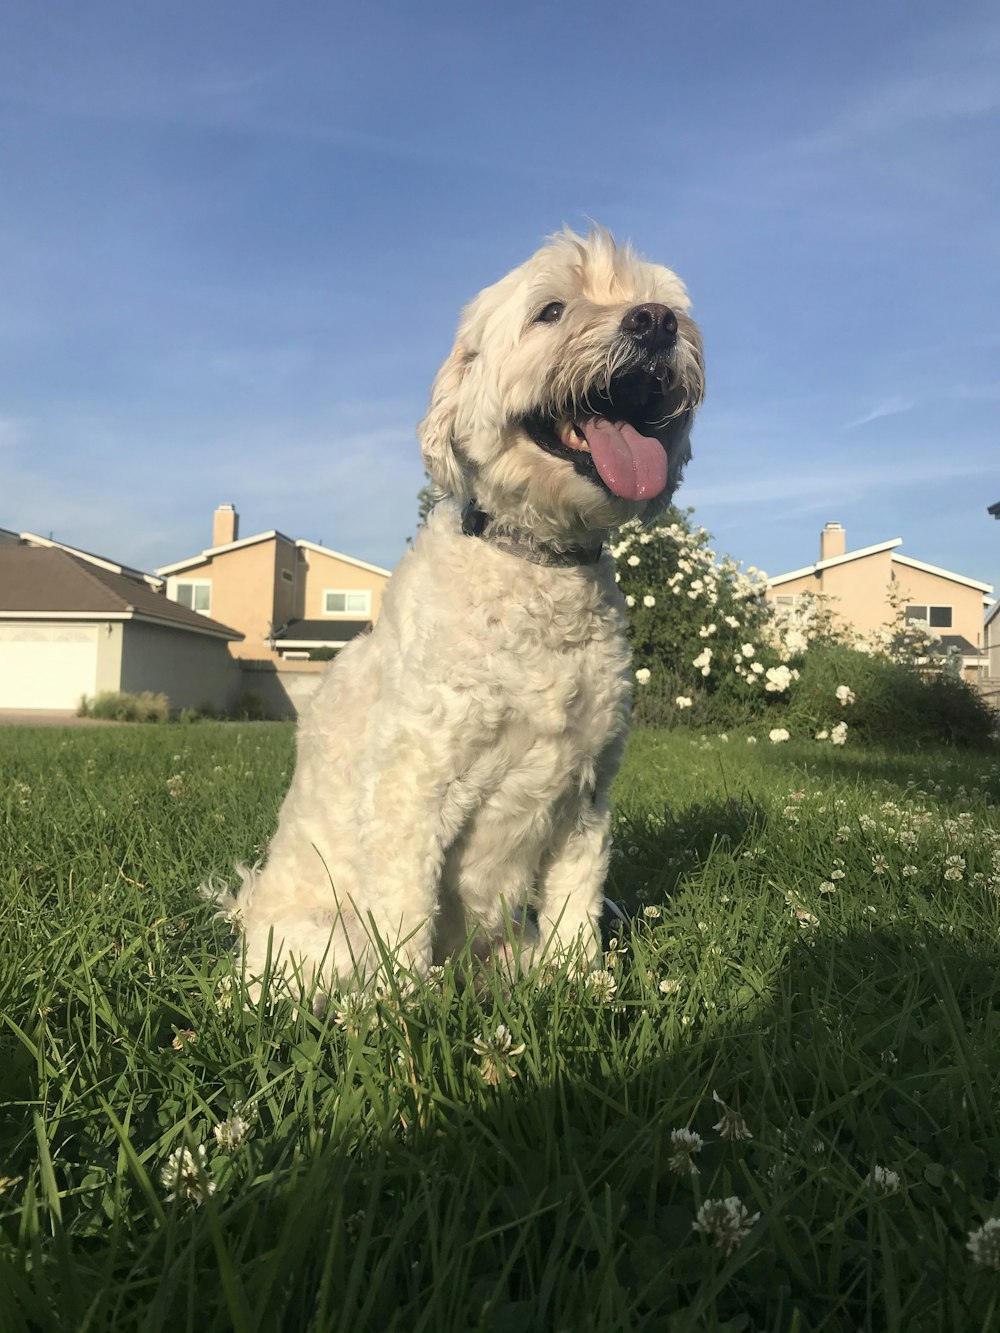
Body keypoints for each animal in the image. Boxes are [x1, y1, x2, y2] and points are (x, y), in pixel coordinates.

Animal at [218, 231, 704, 1002]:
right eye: (551, 310)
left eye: (656, 301)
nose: (656, 322)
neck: (536, 563)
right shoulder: (412, 791)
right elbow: (405, 918)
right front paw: (404, 1011)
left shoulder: (587, 797)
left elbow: (576, 903)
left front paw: (585, 984)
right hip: (325, 944)